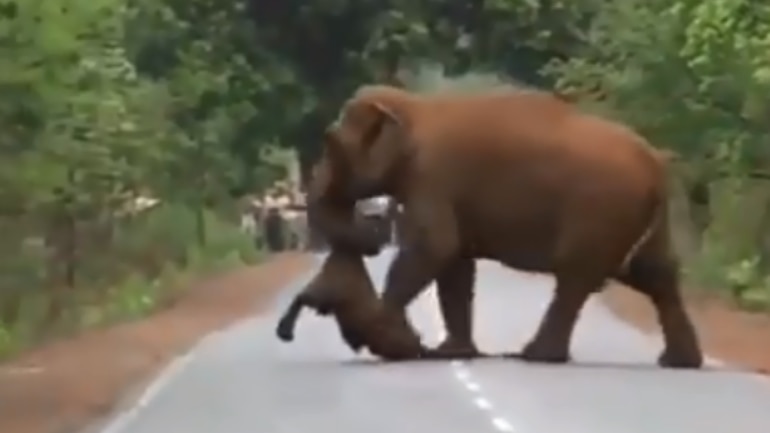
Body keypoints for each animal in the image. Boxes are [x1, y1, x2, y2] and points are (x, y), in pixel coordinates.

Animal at [308, 84, 704, 368]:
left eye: (332, 144)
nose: (373, 230)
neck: (413, 107)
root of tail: (656, 162)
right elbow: (455, 262)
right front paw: (451, 353)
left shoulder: (432, 176)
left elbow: (435, 247)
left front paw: (386, 341)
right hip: (631, 217)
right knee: (653, 273)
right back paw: (678, 362)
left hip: (601, 211)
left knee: (576, 275)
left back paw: (535, 356)